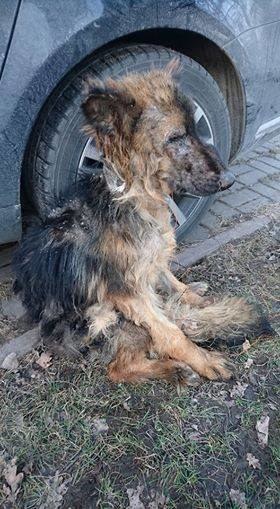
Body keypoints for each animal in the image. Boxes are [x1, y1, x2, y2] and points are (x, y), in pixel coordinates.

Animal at [12, 59, 270, 382]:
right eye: (175, 137)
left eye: (197, 131)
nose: (229, 179)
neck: (133, 197)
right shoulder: (127, 293)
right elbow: (169, 332)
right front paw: (202, 359)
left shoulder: (150, 259)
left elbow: (170, 279)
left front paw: (193, 296)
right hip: (103, 314)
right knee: (119, 367)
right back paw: (175, 368)